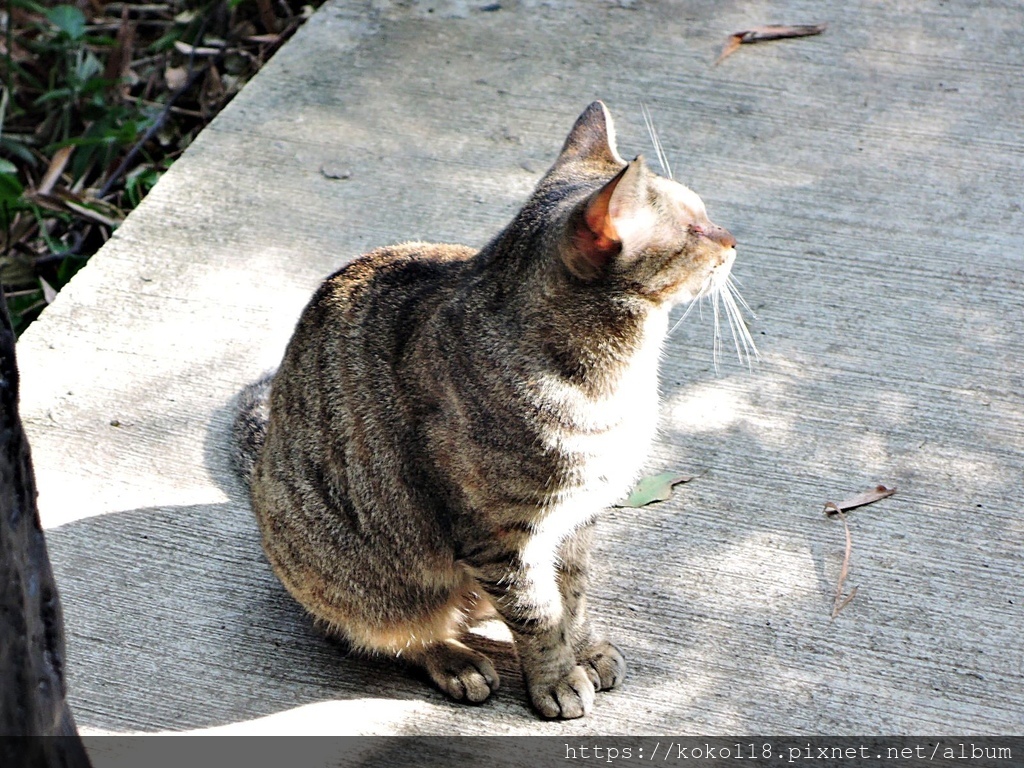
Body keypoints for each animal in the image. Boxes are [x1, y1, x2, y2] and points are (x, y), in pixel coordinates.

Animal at [232, 99, 745, 720]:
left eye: (705, 213)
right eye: (694, 228)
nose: (734, 240)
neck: (620, 376)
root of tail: (262, 467)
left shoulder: (576, 520)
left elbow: (572, 598)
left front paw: (586, 647)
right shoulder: (502, 537)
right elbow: (538, 617)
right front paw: (556, 679)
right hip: (364, 580)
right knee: (388, 632)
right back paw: (457, 661)